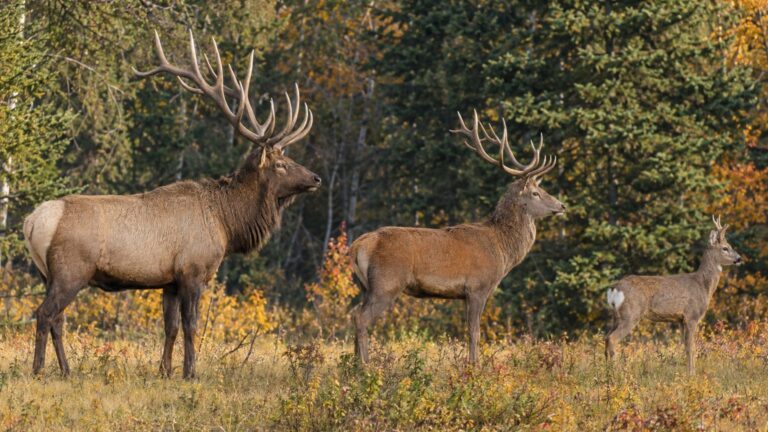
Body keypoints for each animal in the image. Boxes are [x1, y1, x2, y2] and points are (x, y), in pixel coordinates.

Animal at [23, 31, 321, 378]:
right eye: (282, 164)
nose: (315, 178)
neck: (226, 223)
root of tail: (34, 221)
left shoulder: (169, 280)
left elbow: (170, 327)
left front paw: (164, 371)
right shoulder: (193, 270)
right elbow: (191, 325)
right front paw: (191, 372)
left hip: (47, 274)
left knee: (57, 319)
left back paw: (67, 370)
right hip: (71, 270)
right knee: (45, 314)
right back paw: (38, 370)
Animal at [350, 110, 566, 363]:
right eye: (535, 193)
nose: (561, 205)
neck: (502, 251)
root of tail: (358, 246)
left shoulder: (465, 294)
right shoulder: (477, 287)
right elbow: (475, 331)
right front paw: (475, 365)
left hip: (366, 286)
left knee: (354, 314)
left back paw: (354, 365)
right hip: (387, 283)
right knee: (361, 318)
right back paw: (366, 365)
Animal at [605, 216, 742, 375]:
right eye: (725, 248)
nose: (739, 258)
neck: (702, 285)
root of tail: (614, 289)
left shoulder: (680, 320)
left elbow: (685, 347)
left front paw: (688, 373)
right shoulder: (691, 315)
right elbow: (691, 348)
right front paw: (692, 375)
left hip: (616, 316)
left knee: (606, 337)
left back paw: (605, 371)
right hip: (631, 313)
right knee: (612, 339)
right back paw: (615, 373)